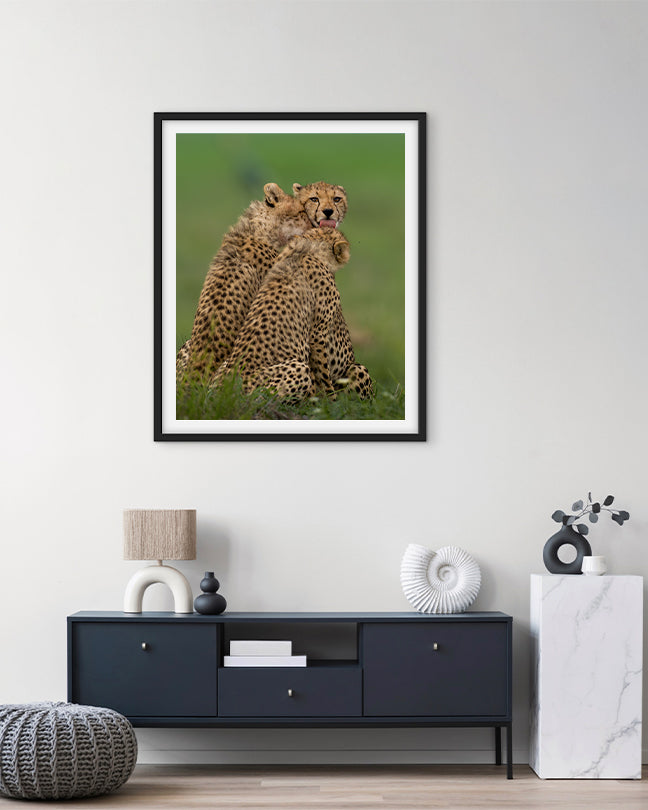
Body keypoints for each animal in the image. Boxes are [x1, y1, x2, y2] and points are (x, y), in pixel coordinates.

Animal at [214, 227, 373, 400]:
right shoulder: (318, 334)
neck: (307, 249)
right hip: (301, 369)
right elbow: (324, 375)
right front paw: (330, 400)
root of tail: (224, 389)